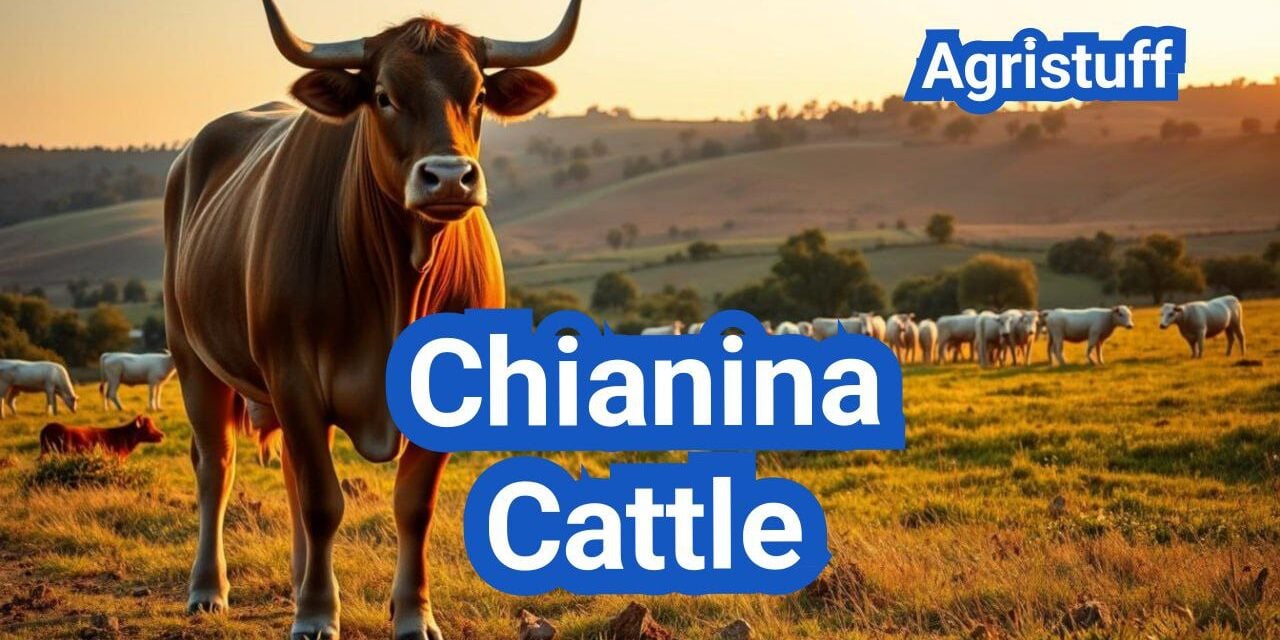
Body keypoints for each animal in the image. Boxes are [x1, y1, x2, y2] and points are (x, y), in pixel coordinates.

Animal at [163, 2, 582, 637]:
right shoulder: (294, 378)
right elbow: (323, 502)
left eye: (480, 93)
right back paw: (210, 588)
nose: (449, 177)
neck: (397, 286)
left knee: (286, 472)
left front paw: (412, 614)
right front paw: (317, 615)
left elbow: (413, 507)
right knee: (218, 466)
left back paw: (296, 580)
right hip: (193, 361)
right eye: (383, 95)